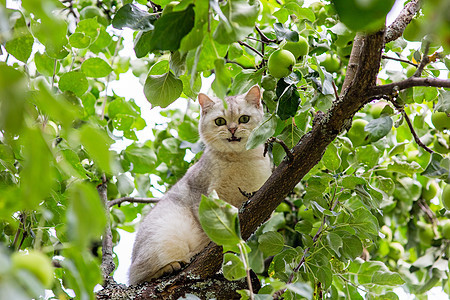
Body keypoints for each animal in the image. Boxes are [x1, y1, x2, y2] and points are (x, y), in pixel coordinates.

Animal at [126, 85, 270, 286]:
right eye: (220, 121)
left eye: (244, 119)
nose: (233, 129)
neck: (240, 159)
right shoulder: (203, 194)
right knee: (140, 276)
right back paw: (171, 266)